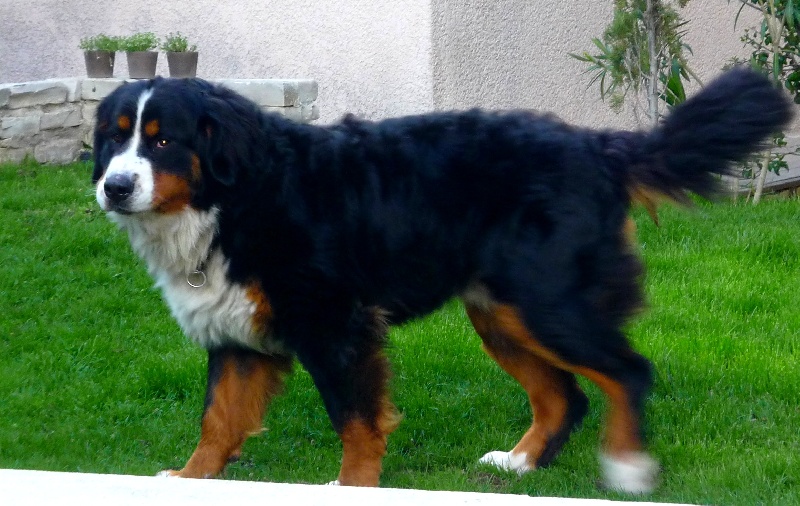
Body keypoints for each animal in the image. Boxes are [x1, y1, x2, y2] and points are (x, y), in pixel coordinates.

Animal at [90, 69, 792, 492]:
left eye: (164, 142)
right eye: (113, 139)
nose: (114, 187)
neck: (234, 199)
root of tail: (598, 145)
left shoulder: (336, 326)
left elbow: (355, 421)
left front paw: (354, 489)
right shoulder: (235, 335)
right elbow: (218, 419)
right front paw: (189, 481)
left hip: (548, 303)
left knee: (627, 372)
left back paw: (627, 467)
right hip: (501, 313)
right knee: (564, 396)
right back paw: (520, 461)